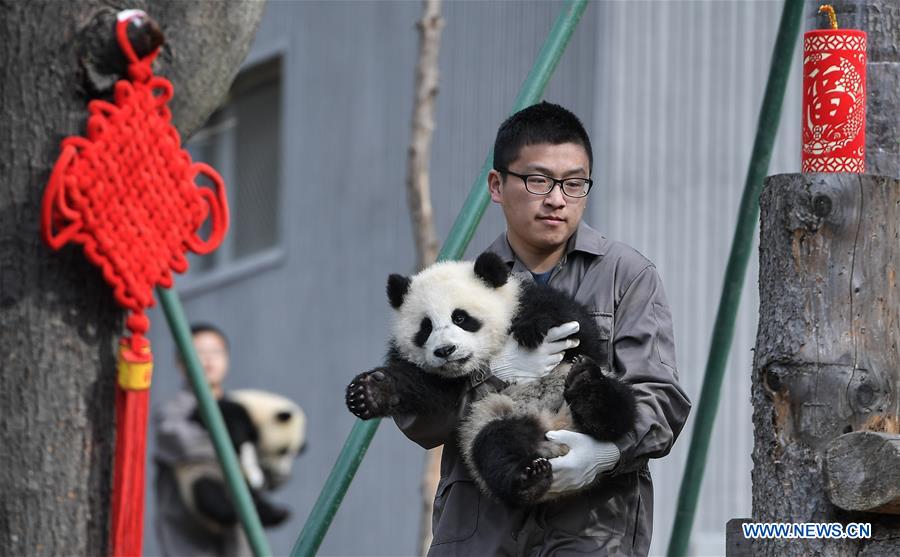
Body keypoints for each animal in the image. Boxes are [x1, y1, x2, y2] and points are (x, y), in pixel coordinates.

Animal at [175, 389, 307, 533]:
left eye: (292, 454)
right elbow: (232, 428)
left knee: (253, 499)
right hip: (197, 474)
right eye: (283, 450)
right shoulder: (228, 411)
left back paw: (277, 513)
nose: (282, 474)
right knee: (208, 493)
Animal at [346, 251, 636, 506]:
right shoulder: (440, 378)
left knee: (618, 411)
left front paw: (533, 328)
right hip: (488, 418)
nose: (445, 351)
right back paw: (529, 480)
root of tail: (555, 430)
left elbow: (578, 329)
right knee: (494, 446)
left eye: (460, 317)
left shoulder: (526, 299)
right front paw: (369, 392)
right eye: (426, 327)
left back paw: (586, 385)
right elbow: (427, 386)